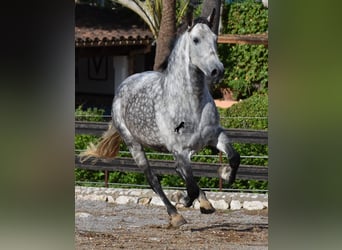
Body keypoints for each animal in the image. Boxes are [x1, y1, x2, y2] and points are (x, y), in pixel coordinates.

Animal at [80, 14, 240, 228]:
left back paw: (205, 204)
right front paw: (183, 200)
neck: (191, 103)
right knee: (153, 179)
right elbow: (190, 186)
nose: (217, 70)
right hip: (134, 146)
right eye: (196, 40)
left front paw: (225, 174)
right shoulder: (180, 150)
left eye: (215, 38)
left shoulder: (215, 136)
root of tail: (125, 84)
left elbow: (234, 157)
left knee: (177, 170)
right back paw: (176, 215)